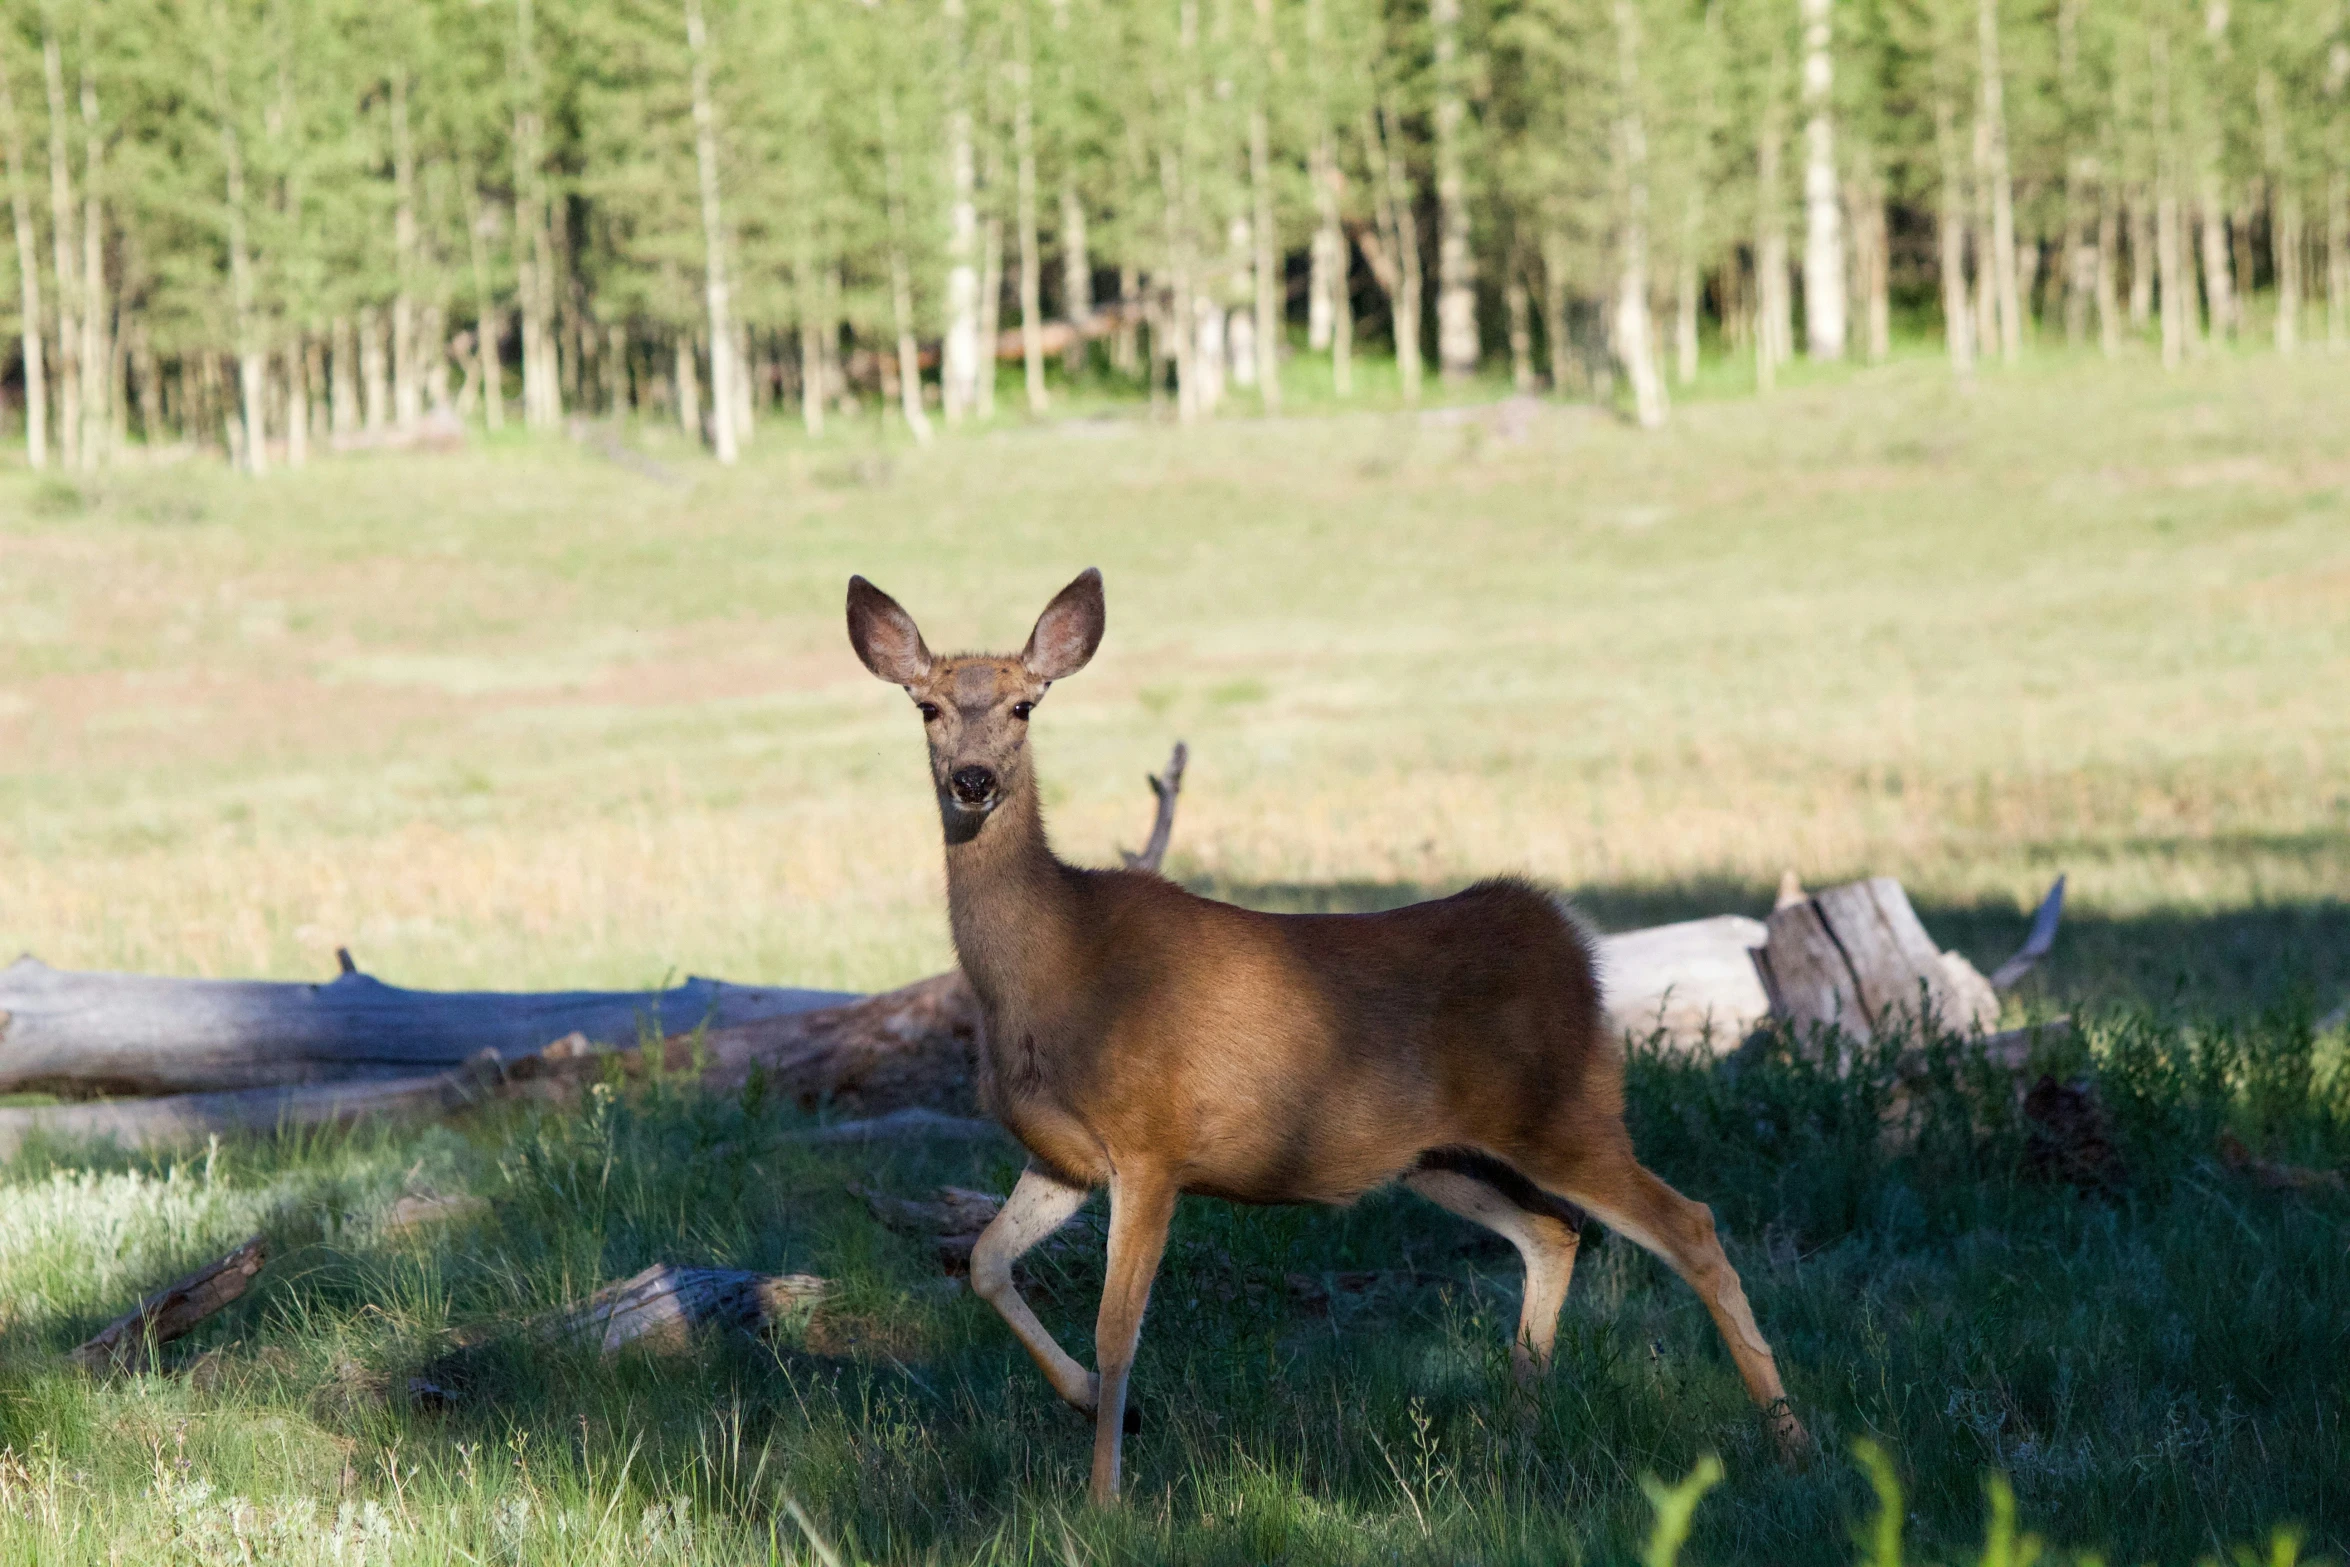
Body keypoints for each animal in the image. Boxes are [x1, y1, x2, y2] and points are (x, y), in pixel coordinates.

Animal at [845, 570, 1814, 1503]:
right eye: (927, 706)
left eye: (1024, 705)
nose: (973, 779)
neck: (1053, 967)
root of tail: (1571, 938)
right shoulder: (1065, 1156)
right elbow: (984, 1262)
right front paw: (1091, 1402)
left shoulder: (1154, 1140)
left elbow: (1118, 1327)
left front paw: (1105, 1496)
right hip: (1439, 1152)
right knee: (1554, 1229)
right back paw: (1518, 1435)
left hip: (1564, 1105)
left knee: (1690, 1223)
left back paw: (1791, 1441)